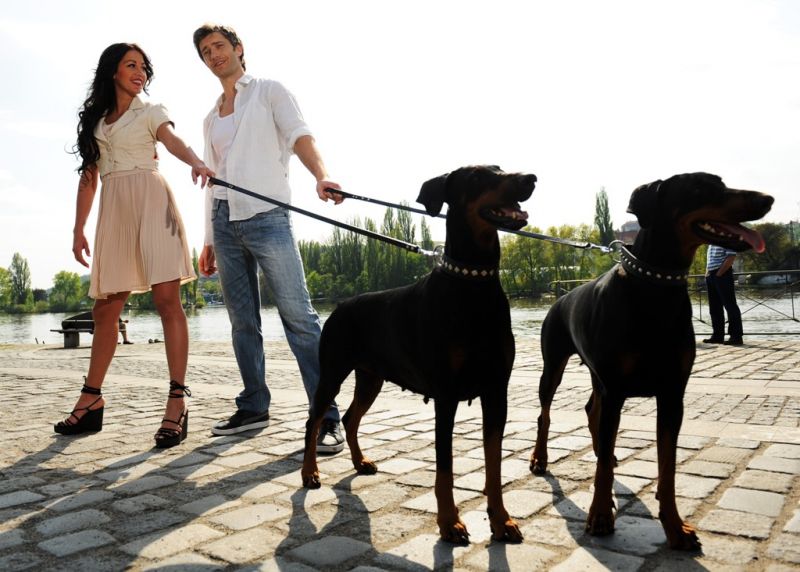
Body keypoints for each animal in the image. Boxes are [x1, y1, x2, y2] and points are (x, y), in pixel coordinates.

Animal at [301, 165, 537, 543]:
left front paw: (501, 520)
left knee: (352, 418)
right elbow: (445, 467)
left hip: (371, 377)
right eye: (478, 176)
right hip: (333, 371)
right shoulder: (446, 395)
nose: (530, 178)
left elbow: (494, 465)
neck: (473, 284)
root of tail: (340, 305)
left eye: (500, 168)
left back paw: (360, 462)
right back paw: (309, 473)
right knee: (314, 420)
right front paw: (450, 523)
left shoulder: (496, 390)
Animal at [529, 172, 773, 550]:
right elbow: (603, 471)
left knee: (592, 410)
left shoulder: (672, 394)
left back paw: (601, 450)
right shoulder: (616, 388)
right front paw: (600, 516)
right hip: (554, 365)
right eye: (702, 187)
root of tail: (560, 298)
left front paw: (676, 527)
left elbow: (667, 467)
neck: (657, 287)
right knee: (546, 413)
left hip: (598, 376)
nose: (767, 199)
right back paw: (540, 459)